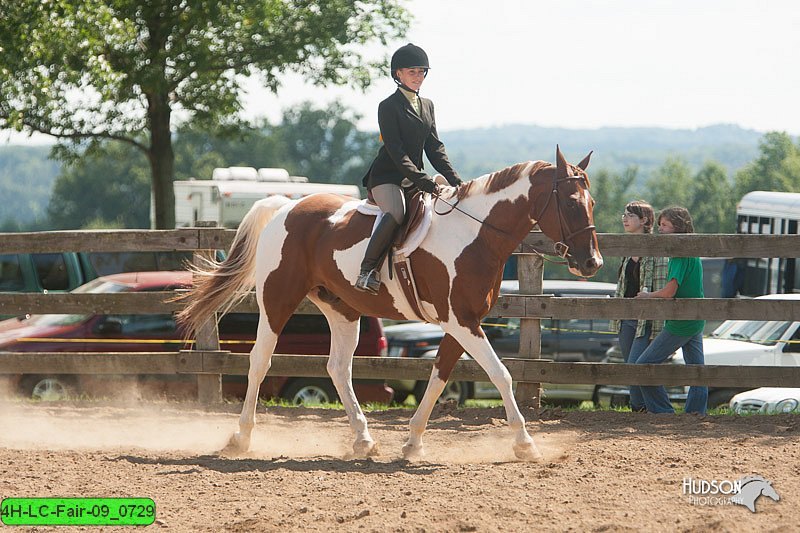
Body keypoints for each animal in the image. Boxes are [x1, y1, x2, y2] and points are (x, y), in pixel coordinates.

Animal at [175, 148, 600, 460]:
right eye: (571, 204)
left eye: (592, 202)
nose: (591, 263)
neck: (474, 233)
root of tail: (284, 208)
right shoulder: (462, 322)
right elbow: (501, 375)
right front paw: (525, 443)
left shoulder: (459, 324)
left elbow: (438, 378)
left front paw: (412, 442)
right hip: (277, 301)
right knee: (260, 362)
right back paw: (241, 438)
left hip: (342, 310)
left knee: (338, 368)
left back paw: (363, 439)